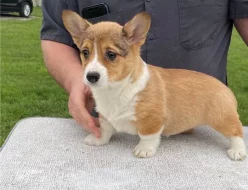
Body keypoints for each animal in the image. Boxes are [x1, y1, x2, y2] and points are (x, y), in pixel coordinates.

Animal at [62, 10, 246, 160]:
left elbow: (147, 136)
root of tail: (225, 88)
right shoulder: (106, 117)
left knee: (237, 132)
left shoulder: (152, 120)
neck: (115, 90)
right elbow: (105, 129)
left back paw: (237, 151)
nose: (91, 76)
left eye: (111, 54)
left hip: (222, 118)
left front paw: (144, 149)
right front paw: (98, 139)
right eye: (85, 53)